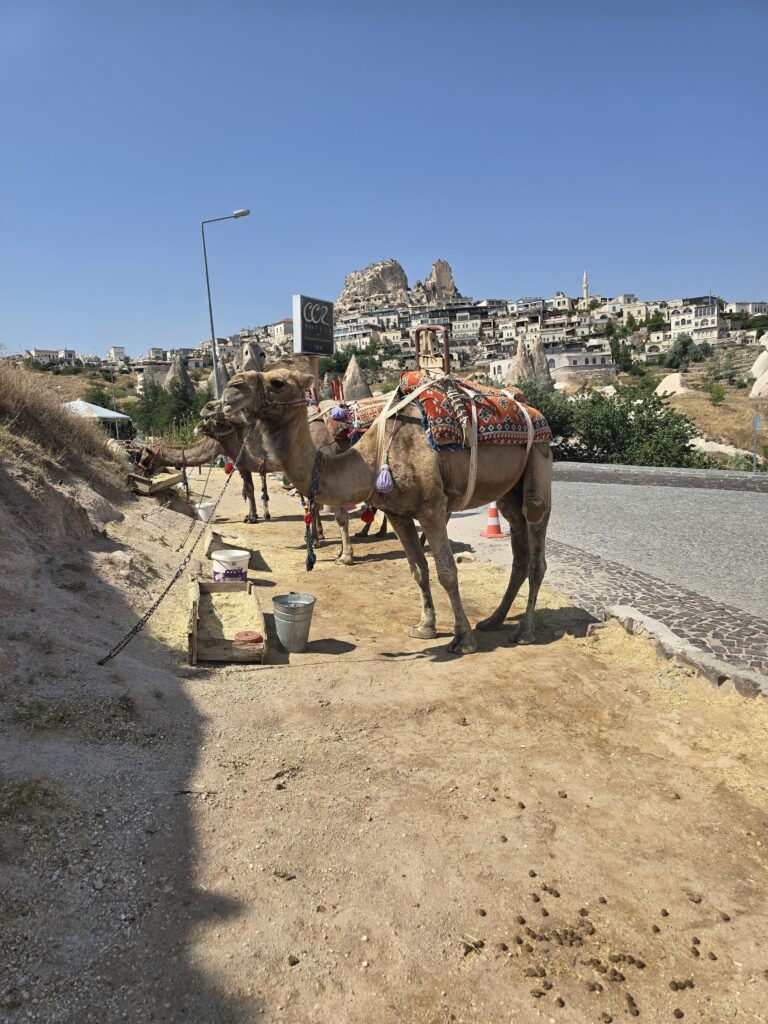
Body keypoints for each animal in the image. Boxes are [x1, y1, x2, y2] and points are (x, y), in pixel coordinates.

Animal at [222, 368, 552, 655]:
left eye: (277, 382)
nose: (230, 391)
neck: (373, 457)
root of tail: (535, 412)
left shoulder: (432, 508)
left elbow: (447, 572)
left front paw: (463, 640)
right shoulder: (398, 513)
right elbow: (418, 570)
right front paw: (425, 627)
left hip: (539, 455)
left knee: (536, 529)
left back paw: (524, 632)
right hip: (509, 490)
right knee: (518, 545)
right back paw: (494, 620)